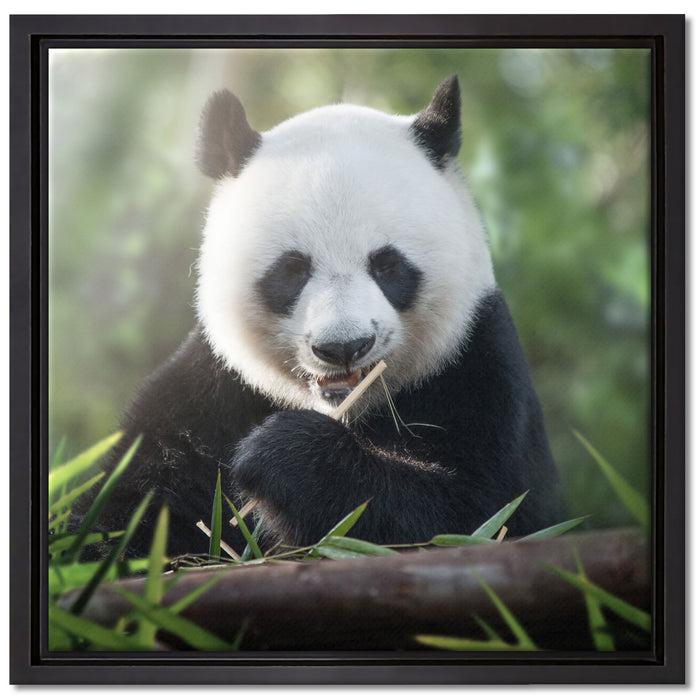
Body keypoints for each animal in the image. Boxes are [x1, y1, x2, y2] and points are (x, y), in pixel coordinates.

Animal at [79, 75, 561, 558]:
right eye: (292, 269)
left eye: (387, 265)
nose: (343, 347)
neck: (344, 408)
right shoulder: (215, 389)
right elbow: (130, 502)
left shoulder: (476, 367)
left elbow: (479, 513)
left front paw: (282, 455)